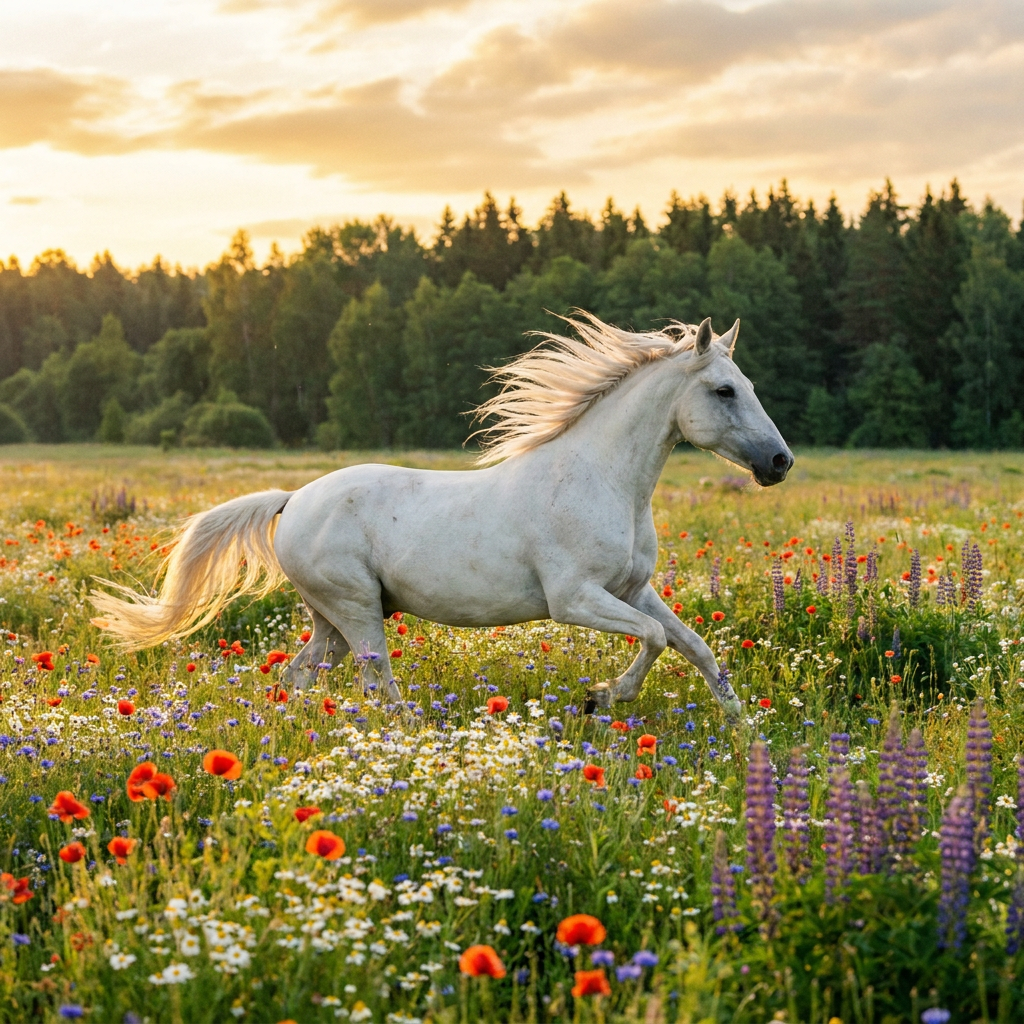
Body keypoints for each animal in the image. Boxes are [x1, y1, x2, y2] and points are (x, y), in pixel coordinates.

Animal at [90, 314, 793, 721]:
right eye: (724, 390)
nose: (780, 462)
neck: (601, 480)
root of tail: (293, 501)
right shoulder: (574, 599)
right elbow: (653, 641)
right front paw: (599, 698)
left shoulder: (633, 589)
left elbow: (694, 646)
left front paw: (742, 727)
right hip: (356, 611)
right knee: (379, 685)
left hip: (331, 621)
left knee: (298, 673)